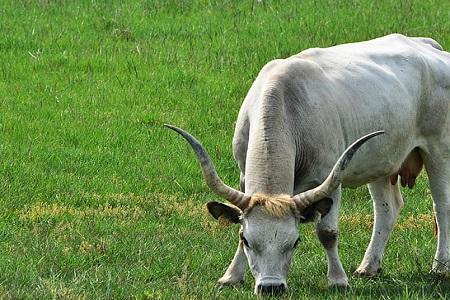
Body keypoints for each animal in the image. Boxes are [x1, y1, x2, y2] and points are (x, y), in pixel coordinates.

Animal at [166, 34, 450, 294]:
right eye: (247, 241)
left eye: (295, 242)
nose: (271, 287)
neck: (287, 104)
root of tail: (429, 46)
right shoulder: (244, 175)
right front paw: (231, 276)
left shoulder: (329, 178)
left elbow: (327, 232)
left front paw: (338, 280)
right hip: (381, 160)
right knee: (387, 209)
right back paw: (369, 266)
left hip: (439, 150)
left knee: (441, 206)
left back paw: (440, 267)